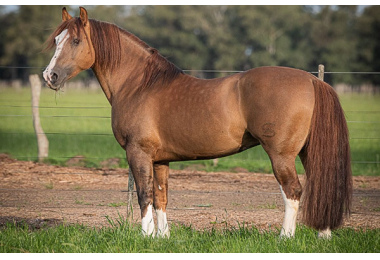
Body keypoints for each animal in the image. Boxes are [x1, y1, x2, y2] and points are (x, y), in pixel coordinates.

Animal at [43, 7, 352, 239]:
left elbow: (144, 195)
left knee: (293, 191)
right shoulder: (160, 160)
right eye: (57, 41)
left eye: (75, 41)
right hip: (308, 152)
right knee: (319, 187)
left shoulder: (138, 153)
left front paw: (145, 237)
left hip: (281, 155)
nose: (50, 76)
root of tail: (311, 80)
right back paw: (323, 236)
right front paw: (162, 238)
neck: (140, 85)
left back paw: (284, 238)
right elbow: (161, 197)